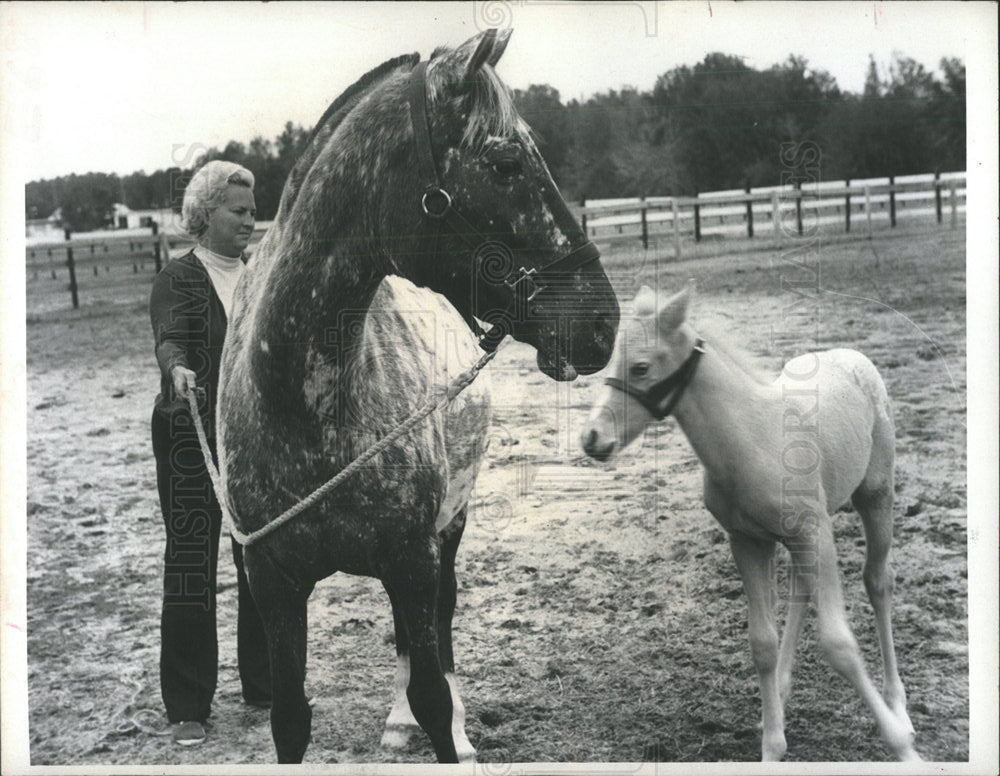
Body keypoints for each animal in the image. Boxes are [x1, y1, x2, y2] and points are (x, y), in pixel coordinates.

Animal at [584, 284, 916, 756]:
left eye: (641, 367)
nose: (592, 438)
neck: (752, 438)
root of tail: (851, 355)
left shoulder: (815, 533)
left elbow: (839, 644)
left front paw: (902, 745)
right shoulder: (747, 540)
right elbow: (762, 642)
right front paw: (772, 744)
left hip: (875, 495)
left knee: (878, 582)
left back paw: (897, 706)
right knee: (801, 590)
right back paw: (783, 689)